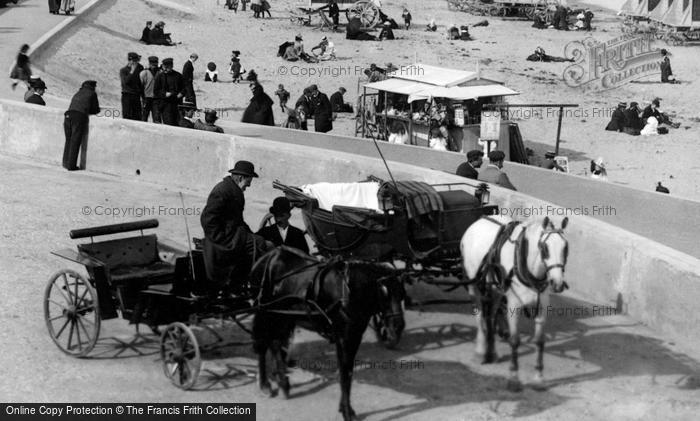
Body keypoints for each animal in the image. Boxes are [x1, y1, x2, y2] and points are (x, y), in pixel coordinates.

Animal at [250, 246, 404, 420]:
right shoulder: (344, 337)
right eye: (384, 293)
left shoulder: (354, 336)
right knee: (263, 343)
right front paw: (347, 411)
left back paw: (283, 382)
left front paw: (345, 408)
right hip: (265, 311)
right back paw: (265, 384)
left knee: (276, 343)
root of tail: (268, 255)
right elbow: (345, 374)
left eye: (401, 293)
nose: (398, 327)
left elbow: (347, 372)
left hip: (285, 315)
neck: (348, 291)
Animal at [462, 217, 572, 390]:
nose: (558, 283)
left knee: (491, 316)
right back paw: (480, 351)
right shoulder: (513, 306)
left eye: (565, 247)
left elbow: (539, 341)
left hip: (496, 289)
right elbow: (514, 341)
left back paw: (491, 352)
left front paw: (538, 378)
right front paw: (513, 378)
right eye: (544, 248)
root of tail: (479, 220)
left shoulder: (542, 305)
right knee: (480, 315)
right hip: (474, 284)